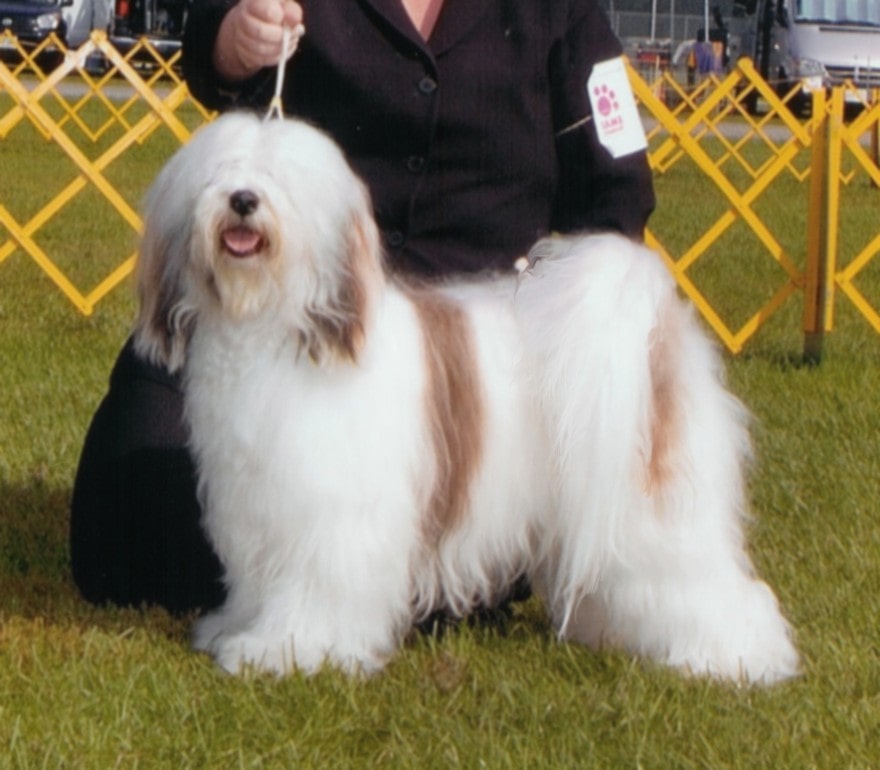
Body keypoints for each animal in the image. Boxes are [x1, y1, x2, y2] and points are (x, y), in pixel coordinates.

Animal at [134, 112, 800, 680]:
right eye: (221, 173)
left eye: (281, 179)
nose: (243, 199)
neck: (278, 326)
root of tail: (652, 326)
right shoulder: (258, 506)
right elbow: (257, 578)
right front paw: (236, 628)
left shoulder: (331, 516)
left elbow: (318, 584)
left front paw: (286, 649)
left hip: (654, 504)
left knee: (702, 576)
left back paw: (736, 657)